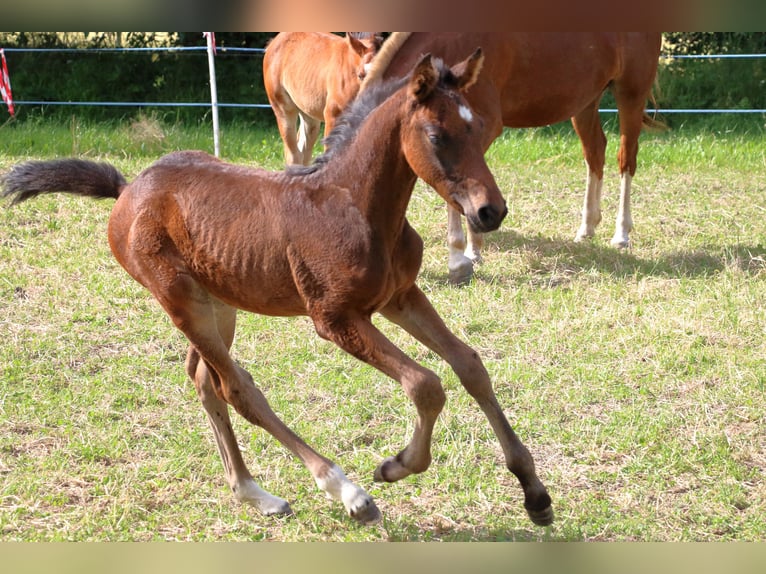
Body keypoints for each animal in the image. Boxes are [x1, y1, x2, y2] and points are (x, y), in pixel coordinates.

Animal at [0, 51, 556, 528]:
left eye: (478, 128)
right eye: (438, 135)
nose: (491, 211)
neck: (357, 205)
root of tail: (127, 188)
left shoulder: (400, 296)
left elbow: (469, 366)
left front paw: (535, 493)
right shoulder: (335, 318)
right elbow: (425, 384)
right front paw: (395, 466)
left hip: (219, 302)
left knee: (204, 379)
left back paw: (254, 493)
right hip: (180, 300)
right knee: (238, 389)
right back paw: (346, 491)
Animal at [264, 32, 384, 166]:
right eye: (361, 75)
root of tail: (273, 42)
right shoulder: (333, 116)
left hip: (309, 115)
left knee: (304, 152)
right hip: (283, 109)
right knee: (293, 155)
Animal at [364, 32, 664, 284]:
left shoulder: (481, 129)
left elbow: (457, 192)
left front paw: (463, 257)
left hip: (631, 94)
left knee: (626, 160)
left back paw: (621, 233)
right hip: (586, 102)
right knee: (595, 153)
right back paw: (587, 227)